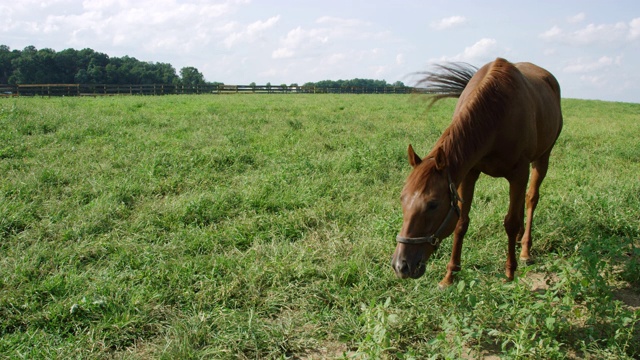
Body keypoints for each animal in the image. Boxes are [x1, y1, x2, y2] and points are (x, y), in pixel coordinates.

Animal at [392, 57, 564, 288]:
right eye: (402, 199)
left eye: (433, 204)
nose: (401, 265)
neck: (497, 114)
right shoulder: (469, 173)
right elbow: (461, 223)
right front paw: (450, 275)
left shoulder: (519, 172)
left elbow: (510, 222)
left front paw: (509, 273)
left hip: (542, 159)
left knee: (530, 199)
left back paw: (525, 250)